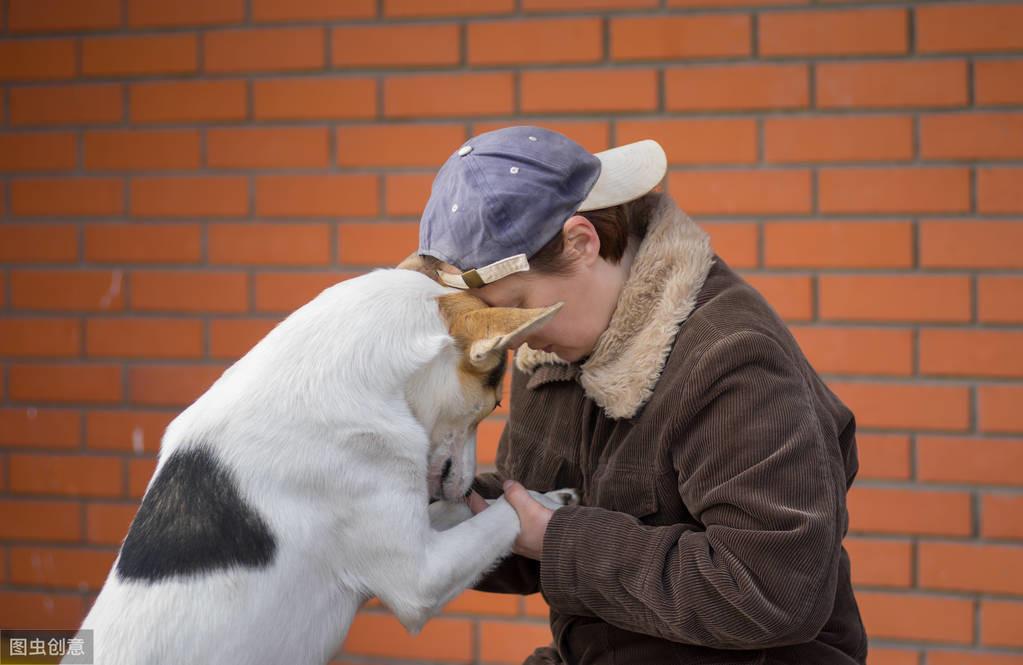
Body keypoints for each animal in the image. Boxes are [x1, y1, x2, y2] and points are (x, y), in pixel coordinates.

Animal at [74, 266, 576, 658]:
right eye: (494, 404)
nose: (472, 486)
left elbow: (460, 511)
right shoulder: (421, 577)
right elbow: (501, 515)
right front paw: (547, 501)